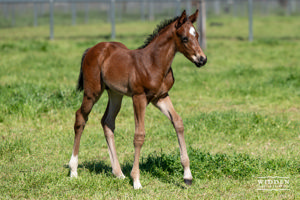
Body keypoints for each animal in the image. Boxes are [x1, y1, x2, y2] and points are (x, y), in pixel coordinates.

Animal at [69, 10, 207, 189]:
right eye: (184, 38)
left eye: (197, 35)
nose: (202, 59)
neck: (154, 62)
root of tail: (93, 49)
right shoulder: (139, 97)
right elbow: (139, 135)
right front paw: (136, 180)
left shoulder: (160, 97)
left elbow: (178, 122)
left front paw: (187, 176)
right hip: (92, 92)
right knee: (81, 117)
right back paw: (73, 170)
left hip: (115, 94)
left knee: (107, 122)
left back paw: (118, 173)